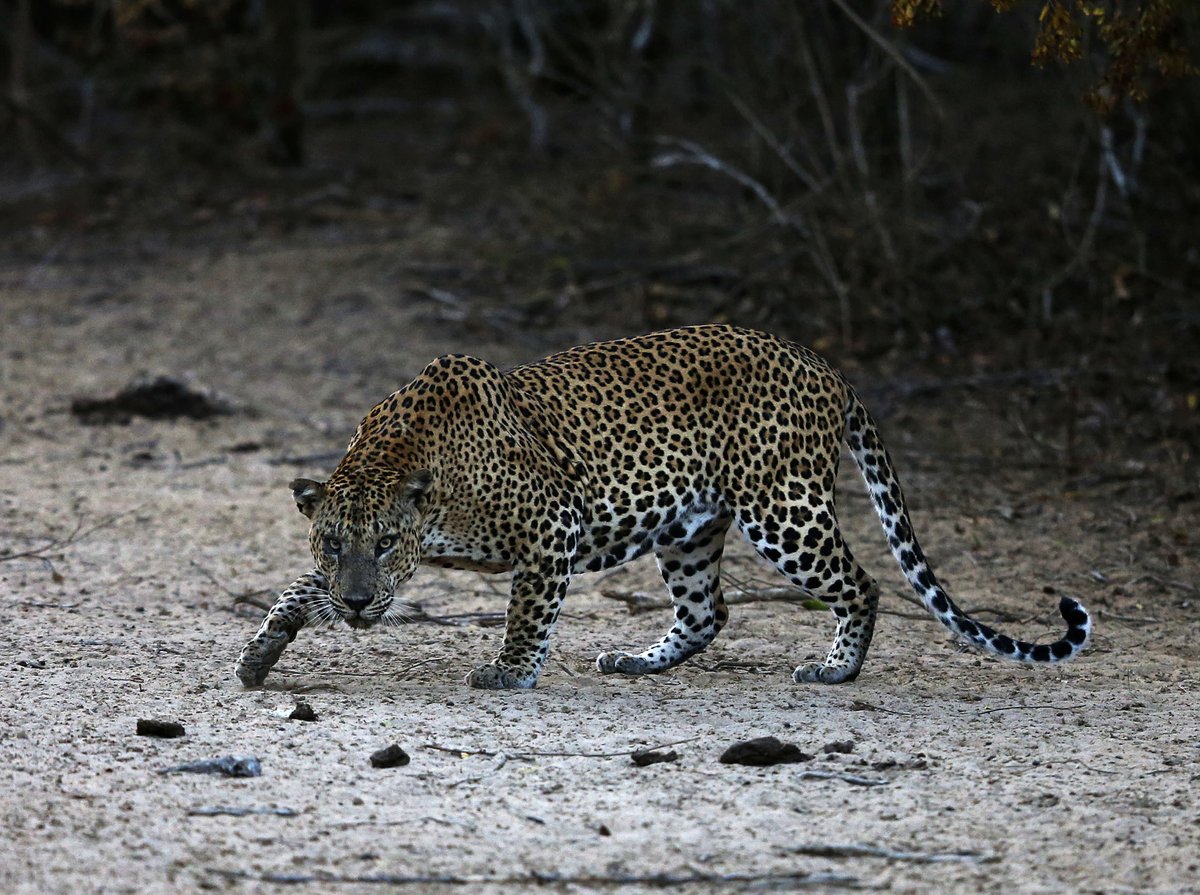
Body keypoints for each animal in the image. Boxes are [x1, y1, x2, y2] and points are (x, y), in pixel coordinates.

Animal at [231, 323, 1089, 686]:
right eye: (335, 542)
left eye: (385, 542)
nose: (359, 602)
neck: (414, 464)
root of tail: (822, 364)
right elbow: (297, 590)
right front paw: (264, 648)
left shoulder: (552, 527)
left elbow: (526, 612)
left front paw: (510, 671)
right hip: (690, 527)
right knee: (709, 611)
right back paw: (638, 659)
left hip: (784, 507)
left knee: (863, 583)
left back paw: (837, 668)